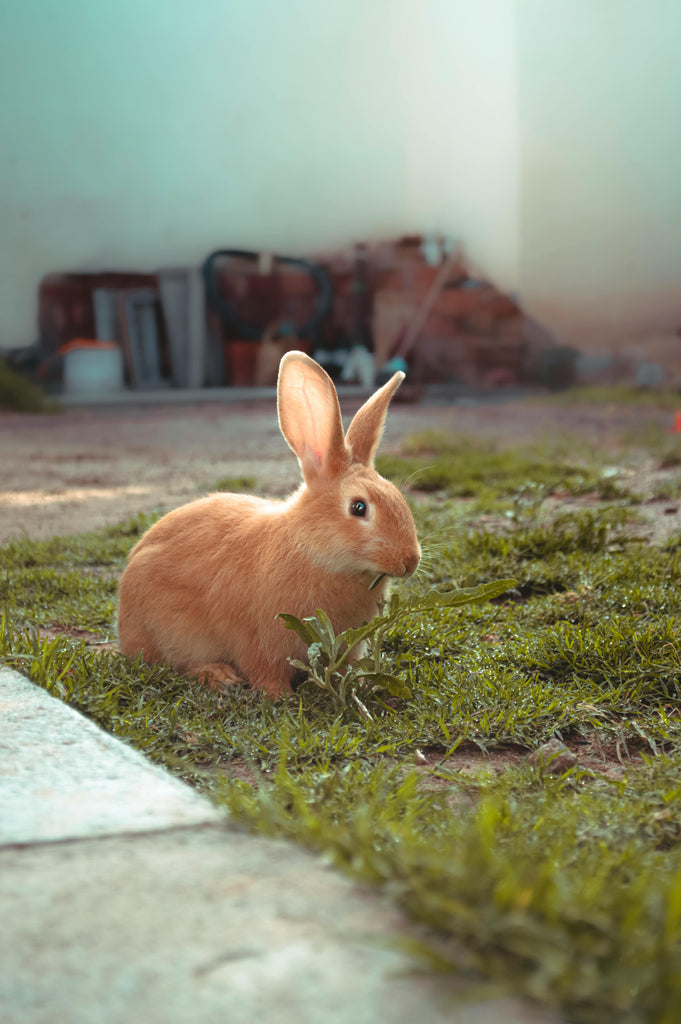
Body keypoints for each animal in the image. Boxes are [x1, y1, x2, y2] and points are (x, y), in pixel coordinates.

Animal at [119, 350, 421, 696]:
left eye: (397, 495)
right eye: (359, 507)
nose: (410, 561)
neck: (314, 553)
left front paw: (353, 684)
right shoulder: (259, 640)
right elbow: (264, 670)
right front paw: (280, 696)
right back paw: (217, 674)